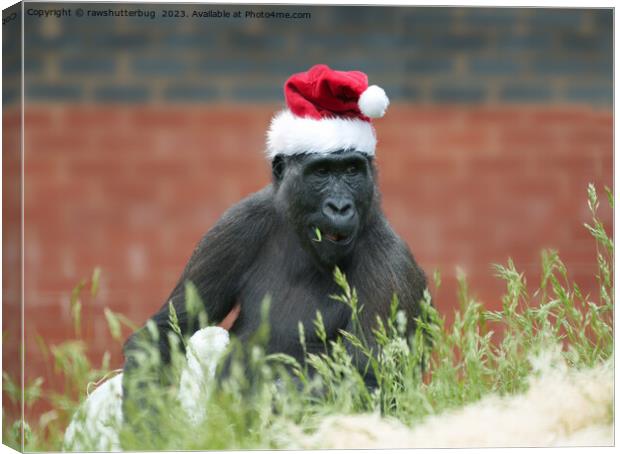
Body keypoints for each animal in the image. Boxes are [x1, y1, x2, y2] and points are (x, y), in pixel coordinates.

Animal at [123, 64, 428, 422]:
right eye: (322, 172)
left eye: (352, 170)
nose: (339, 206)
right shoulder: (236, 226)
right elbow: (164, 332)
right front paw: (145, 422)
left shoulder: (390, 265)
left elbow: (372, 382)